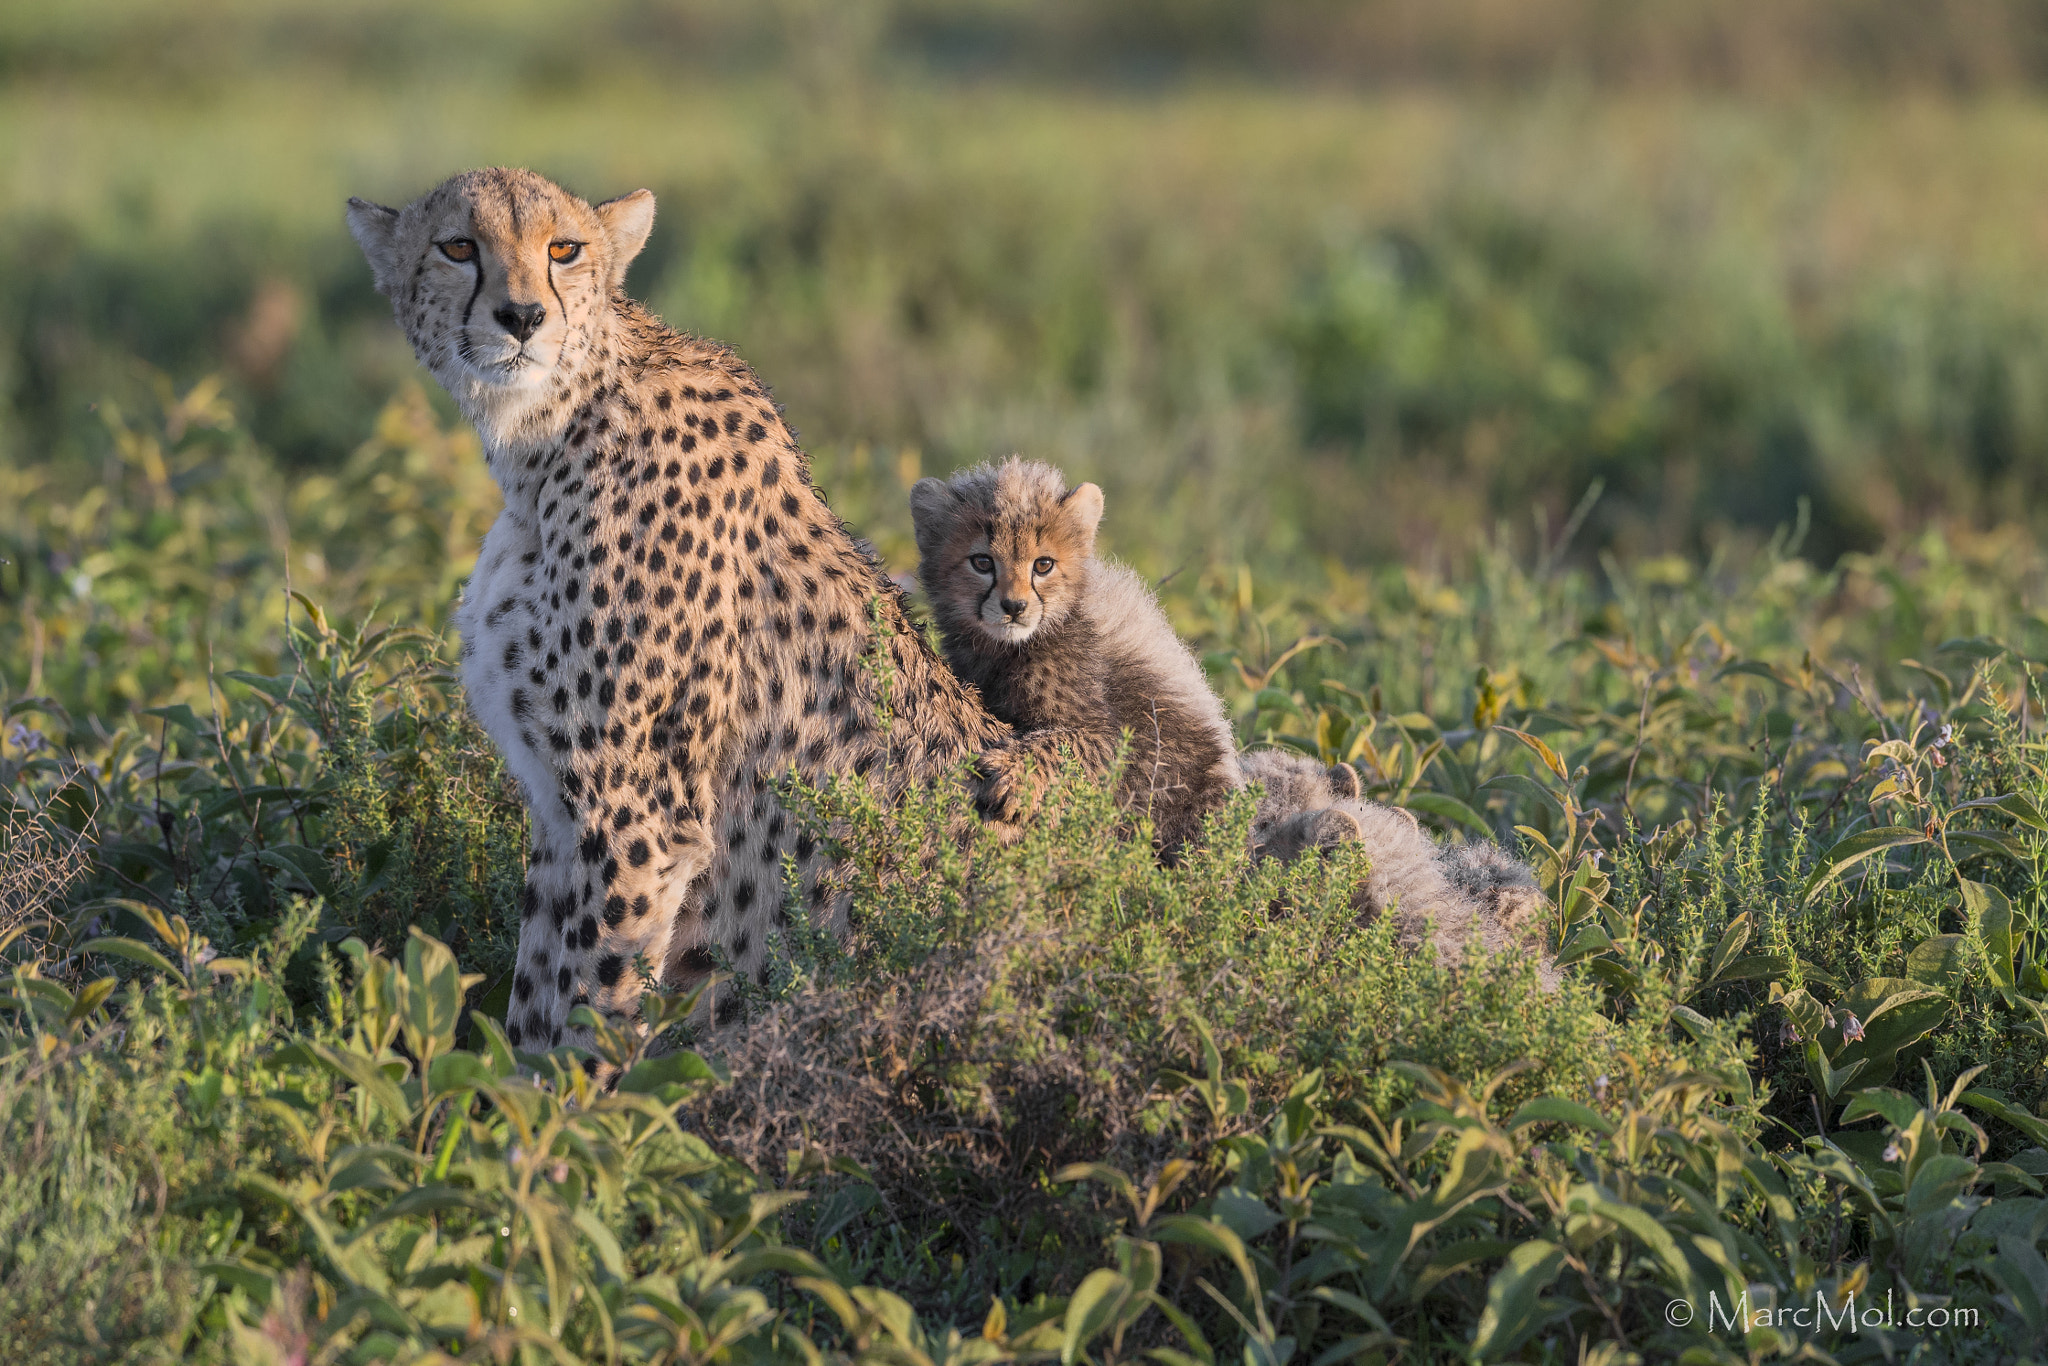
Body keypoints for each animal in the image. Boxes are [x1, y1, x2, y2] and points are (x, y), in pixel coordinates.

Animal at [356, 171, 1019, 1048]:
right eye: (457, 246)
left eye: (563, 248)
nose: (523, 317)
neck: (548, 435)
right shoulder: (561, 815)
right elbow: (533, 1003)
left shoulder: (641, 816)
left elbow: (591, 1010)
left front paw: (570, 1087)